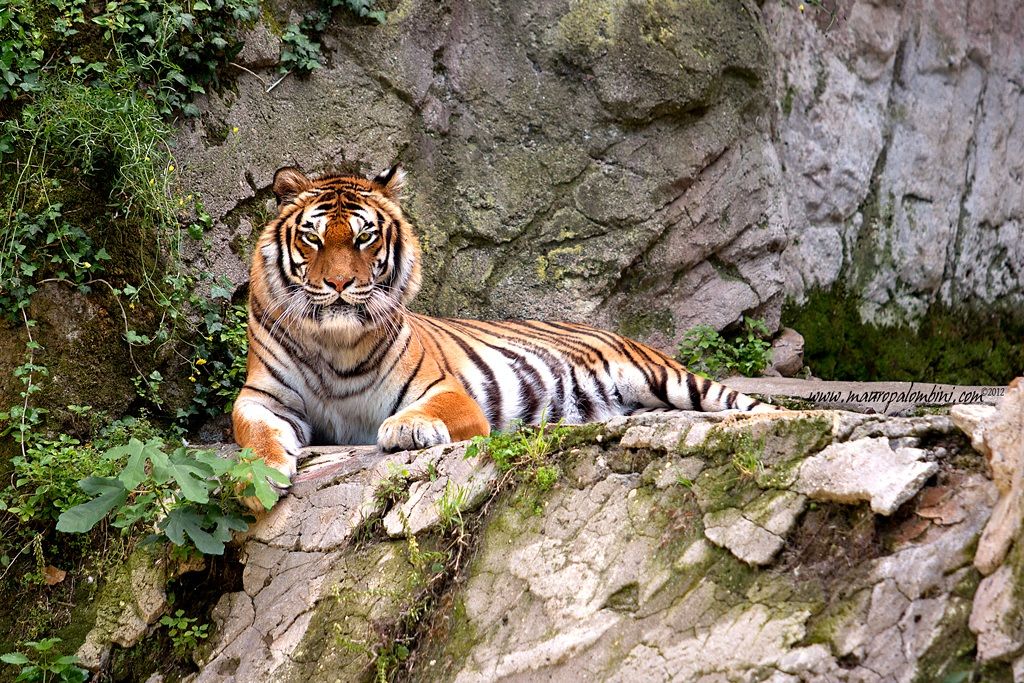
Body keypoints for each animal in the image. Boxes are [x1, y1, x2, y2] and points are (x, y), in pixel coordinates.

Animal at [232, 165, 780, 503]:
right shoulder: (263, 397)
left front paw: (407, 429)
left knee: (746, 405)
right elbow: (252, 433)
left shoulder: (445, 391)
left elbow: (426, 412)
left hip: (671, 379)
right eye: (313, 237)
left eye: (365, 237)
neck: (335, 343)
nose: (340, 284)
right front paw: (256, 477)